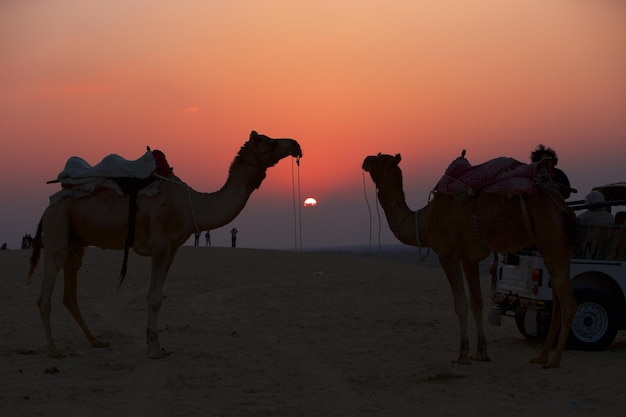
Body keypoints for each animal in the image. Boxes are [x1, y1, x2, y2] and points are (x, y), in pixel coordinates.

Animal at [27, 131, 302, 358]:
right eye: (268, 140)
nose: (295, 144)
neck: (193, 205)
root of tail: (50, 204)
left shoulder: (173, 248)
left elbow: (159, 294)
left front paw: (156, 344)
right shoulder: (160, 245)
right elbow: (154, 297)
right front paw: (155, 349)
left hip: (76, 241)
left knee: (70, 293)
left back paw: (96, 342)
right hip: (57, 227)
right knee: (45, 291)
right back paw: (53, 350)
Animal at [364, 153, 576, 368]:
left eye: (379, 158)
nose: (366, 160)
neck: (425, 220)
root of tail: (564, 208)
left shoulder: (447, 255)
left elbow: (461, 305)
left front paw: (463, 355)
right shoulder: (470, 258)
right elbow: (477, 303)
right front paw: (481, 353)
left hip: (553, 241)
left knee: (568, 304)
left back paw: (555, 361)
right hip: (553, 250)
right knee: (556, 302)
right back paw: (541, 357)